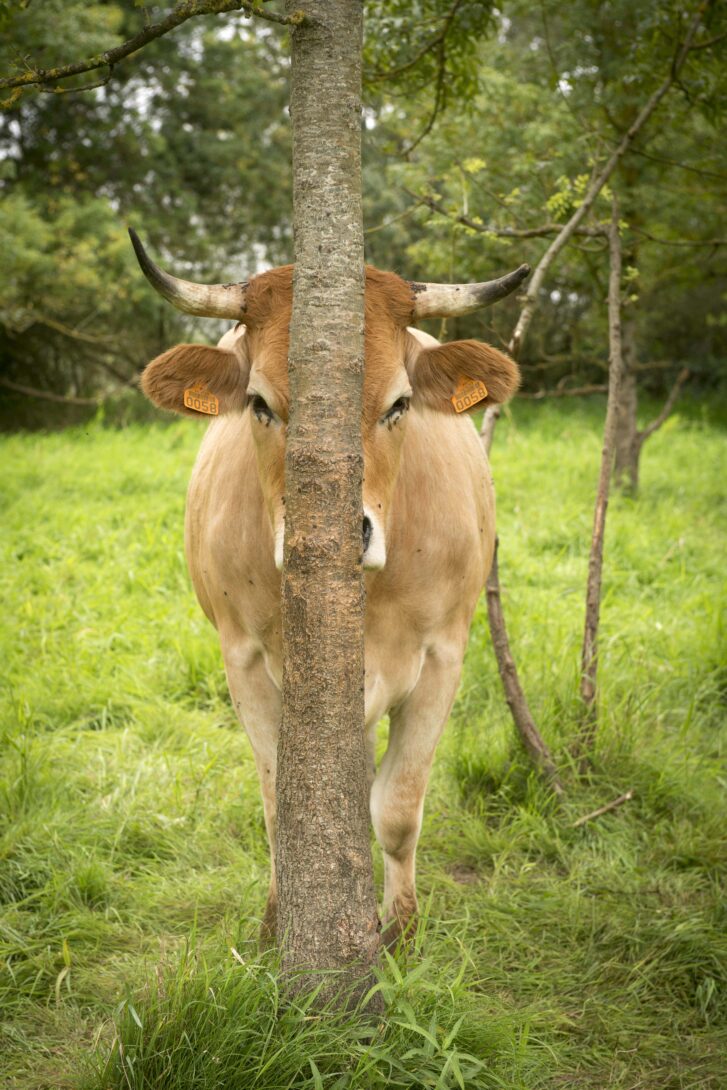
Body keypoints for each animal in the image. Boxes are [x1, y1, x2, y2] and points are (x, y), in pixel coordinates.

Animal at [129, 229, 526, 946]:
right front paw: (276, 923)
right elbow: (279, 807)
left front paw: (400, 930)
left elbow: (397, 808)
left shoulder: (443, 658)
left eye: (399, 403)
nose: (345, 529)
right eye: (260, 404)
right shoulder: (244, 661)